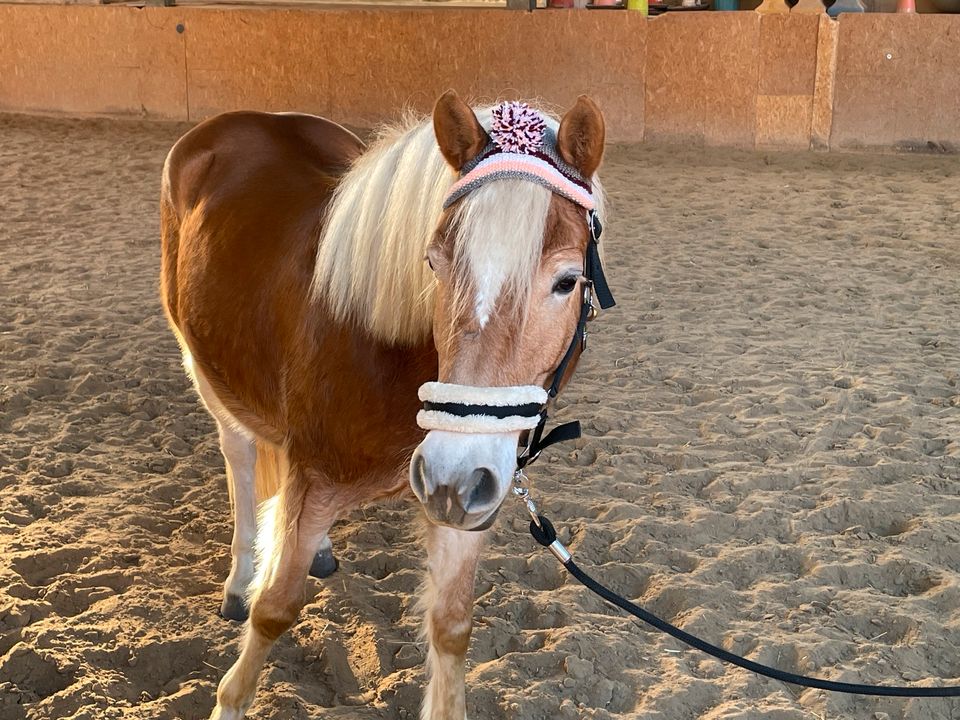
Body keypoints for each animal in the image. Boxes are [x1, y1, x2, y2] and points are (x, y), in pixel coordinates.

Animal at [158, 91, 608, 720]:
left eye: (567, 281)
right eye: (434, 263)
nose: (450, 476)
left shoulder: (468, 505)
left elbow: (451, 628)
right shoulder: (315, 478)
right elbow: (272, 610)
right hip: (204, 370)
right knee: (240, 459)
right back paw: (239, 577)